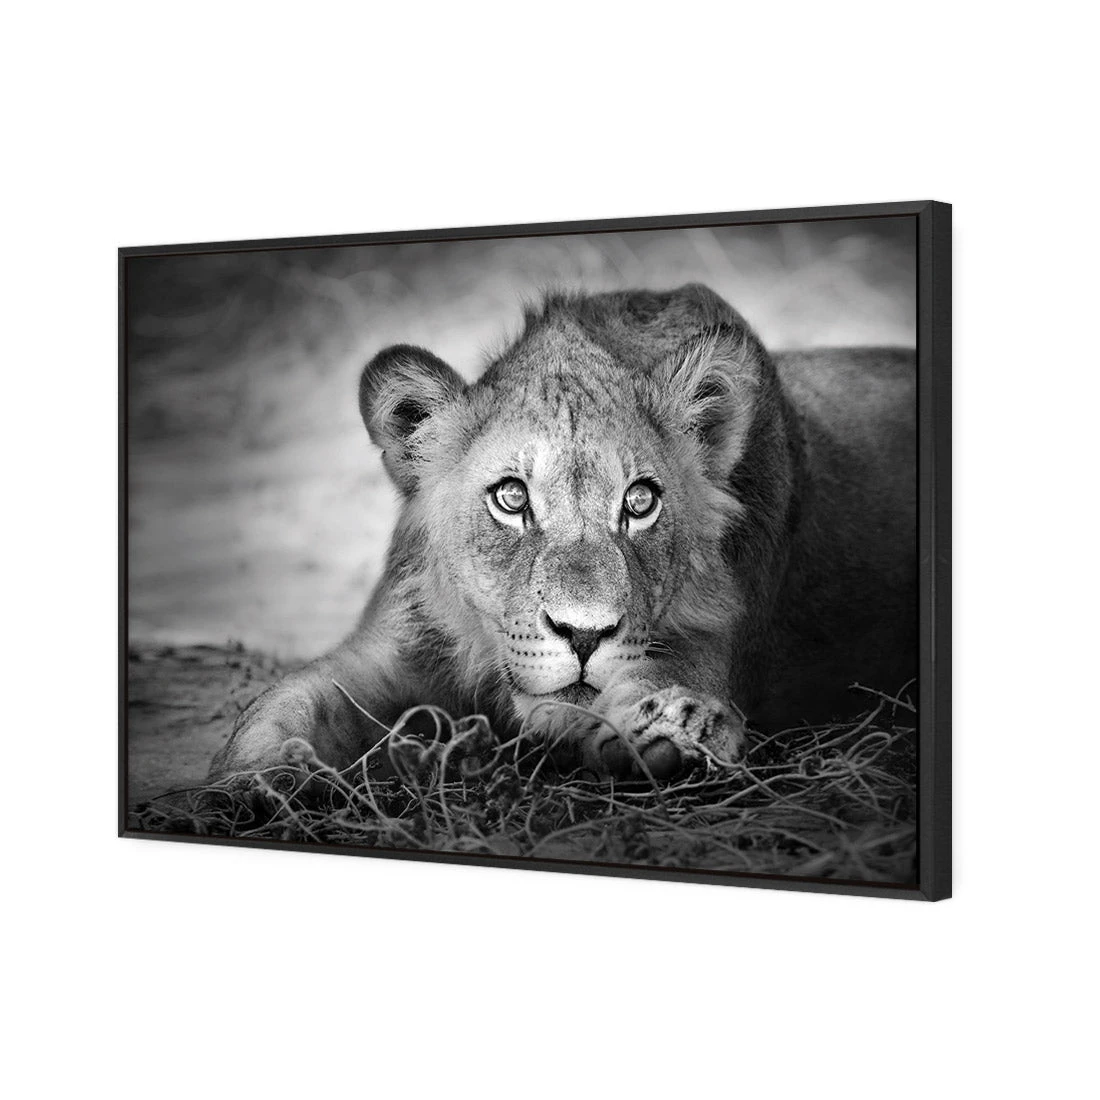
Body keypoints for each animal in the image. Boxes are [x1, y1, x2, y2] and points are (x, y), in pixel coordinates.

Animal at [209, 283, 915, 784]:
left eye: (639, 502)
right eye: (511, 498)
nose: (584, 634)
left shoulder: (711, 643)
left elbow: (652, 685)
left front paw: (673, 731)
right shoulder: (391, 647)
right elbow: (280, 705)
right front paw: (250, 784)